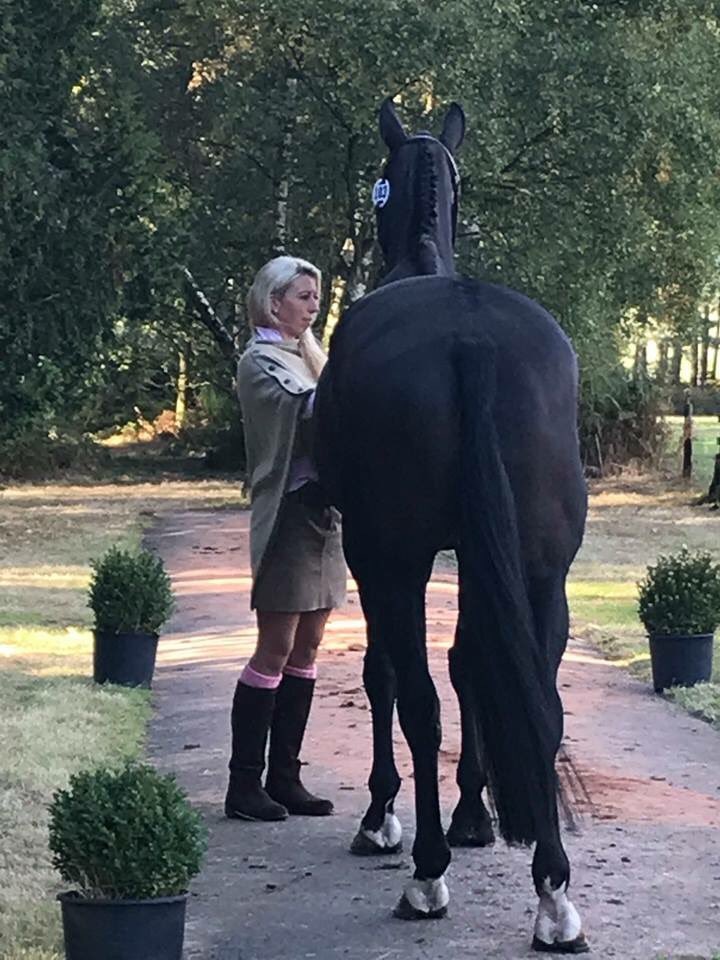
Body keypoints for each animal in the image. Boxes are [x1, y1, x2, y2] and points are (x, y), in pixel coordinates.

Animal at [314, 98, 589, 953]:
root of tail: (469, 336)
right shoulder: (477, 553)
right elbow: (475, 666)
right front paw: (475, 816)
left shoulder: (375, 556)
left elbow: (391, 678)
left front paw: (383, 817)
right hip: (543, 572)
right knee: (541, 704)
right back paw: (553, 894)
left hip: (392, 557)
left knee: (418, 700)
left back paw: (427, 873)